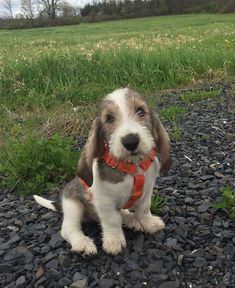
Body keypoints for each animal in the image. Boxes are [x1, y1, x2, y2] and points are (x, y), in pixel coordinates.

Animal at [34, 87, 172, 254]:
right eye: (109, 118)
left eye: (140, 111)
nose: (131, 141)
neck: (131, 167)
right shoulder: (104, 202)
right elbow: (112, 221)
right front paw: (114, 241)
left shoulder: (146, 192)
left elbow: (143, 209)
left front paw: (149, 223)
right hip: (73, 205)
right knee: (68, 229)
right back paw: (82, 243)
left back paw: (131, 219)